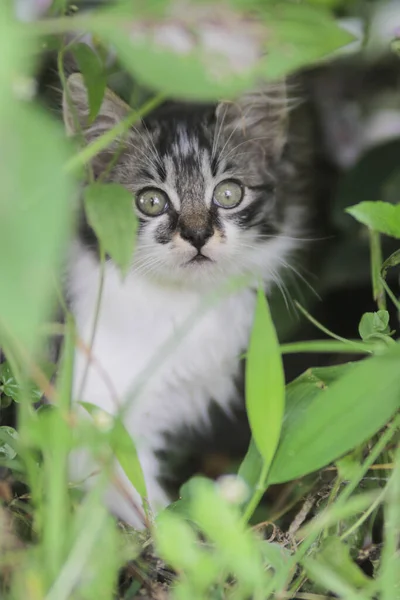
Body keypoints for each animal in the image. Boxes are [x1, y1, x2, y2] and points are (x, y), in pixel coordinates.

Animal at [62, 72, 318, 528]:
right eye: (151, 201)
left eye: (229, 194)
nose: (198, 234)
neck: (184, 305)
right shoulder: (96, 416)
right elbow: (144, 505)